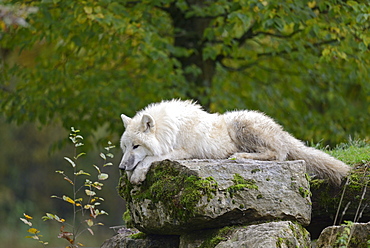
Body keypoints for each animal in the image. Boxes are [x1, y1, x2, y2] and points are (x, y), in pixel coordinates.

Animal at [119, 100, 350, 185]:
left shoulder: (183, 150)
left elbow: (152, 158)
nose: (121, 167)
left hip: (239, 124)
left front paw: (136, 174)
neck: (171, 128)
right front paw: (131, 173)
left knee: (279, 154)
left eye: (136, 146)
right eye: (125, 147)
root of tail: (281, 130)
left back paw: (240, 156)